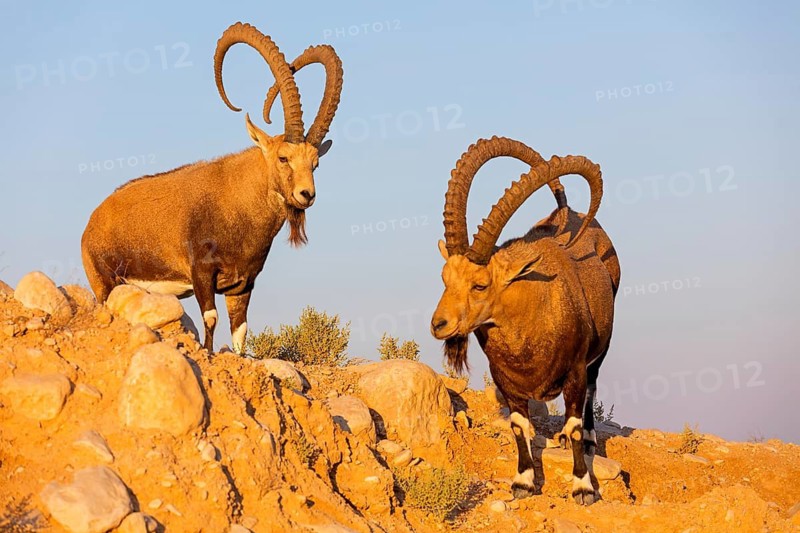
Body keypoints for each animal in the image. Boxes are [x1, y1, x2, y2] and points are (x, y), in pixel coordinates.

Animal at [81, 22, 343, 354]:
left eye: (315, 164)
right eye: (283, 157)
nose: (306, 195)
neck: (238, 204)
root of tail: (92, 223)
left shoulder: (243, 283)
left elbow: (239, 331)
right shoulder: (202, 274)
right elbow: (210, 319)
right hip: (103, 282)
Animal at [431, 137, 620, 505]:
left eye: (480, 284)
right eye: (445, 277)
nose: (439, 325)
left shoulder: (575, 370)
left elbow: (575, 423)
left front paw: (583, 487)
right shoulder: (505, 380)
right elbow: (519, 425)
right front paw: (523, 482)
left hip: (600, 350)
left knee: (592, 388)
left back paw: (590, 438)